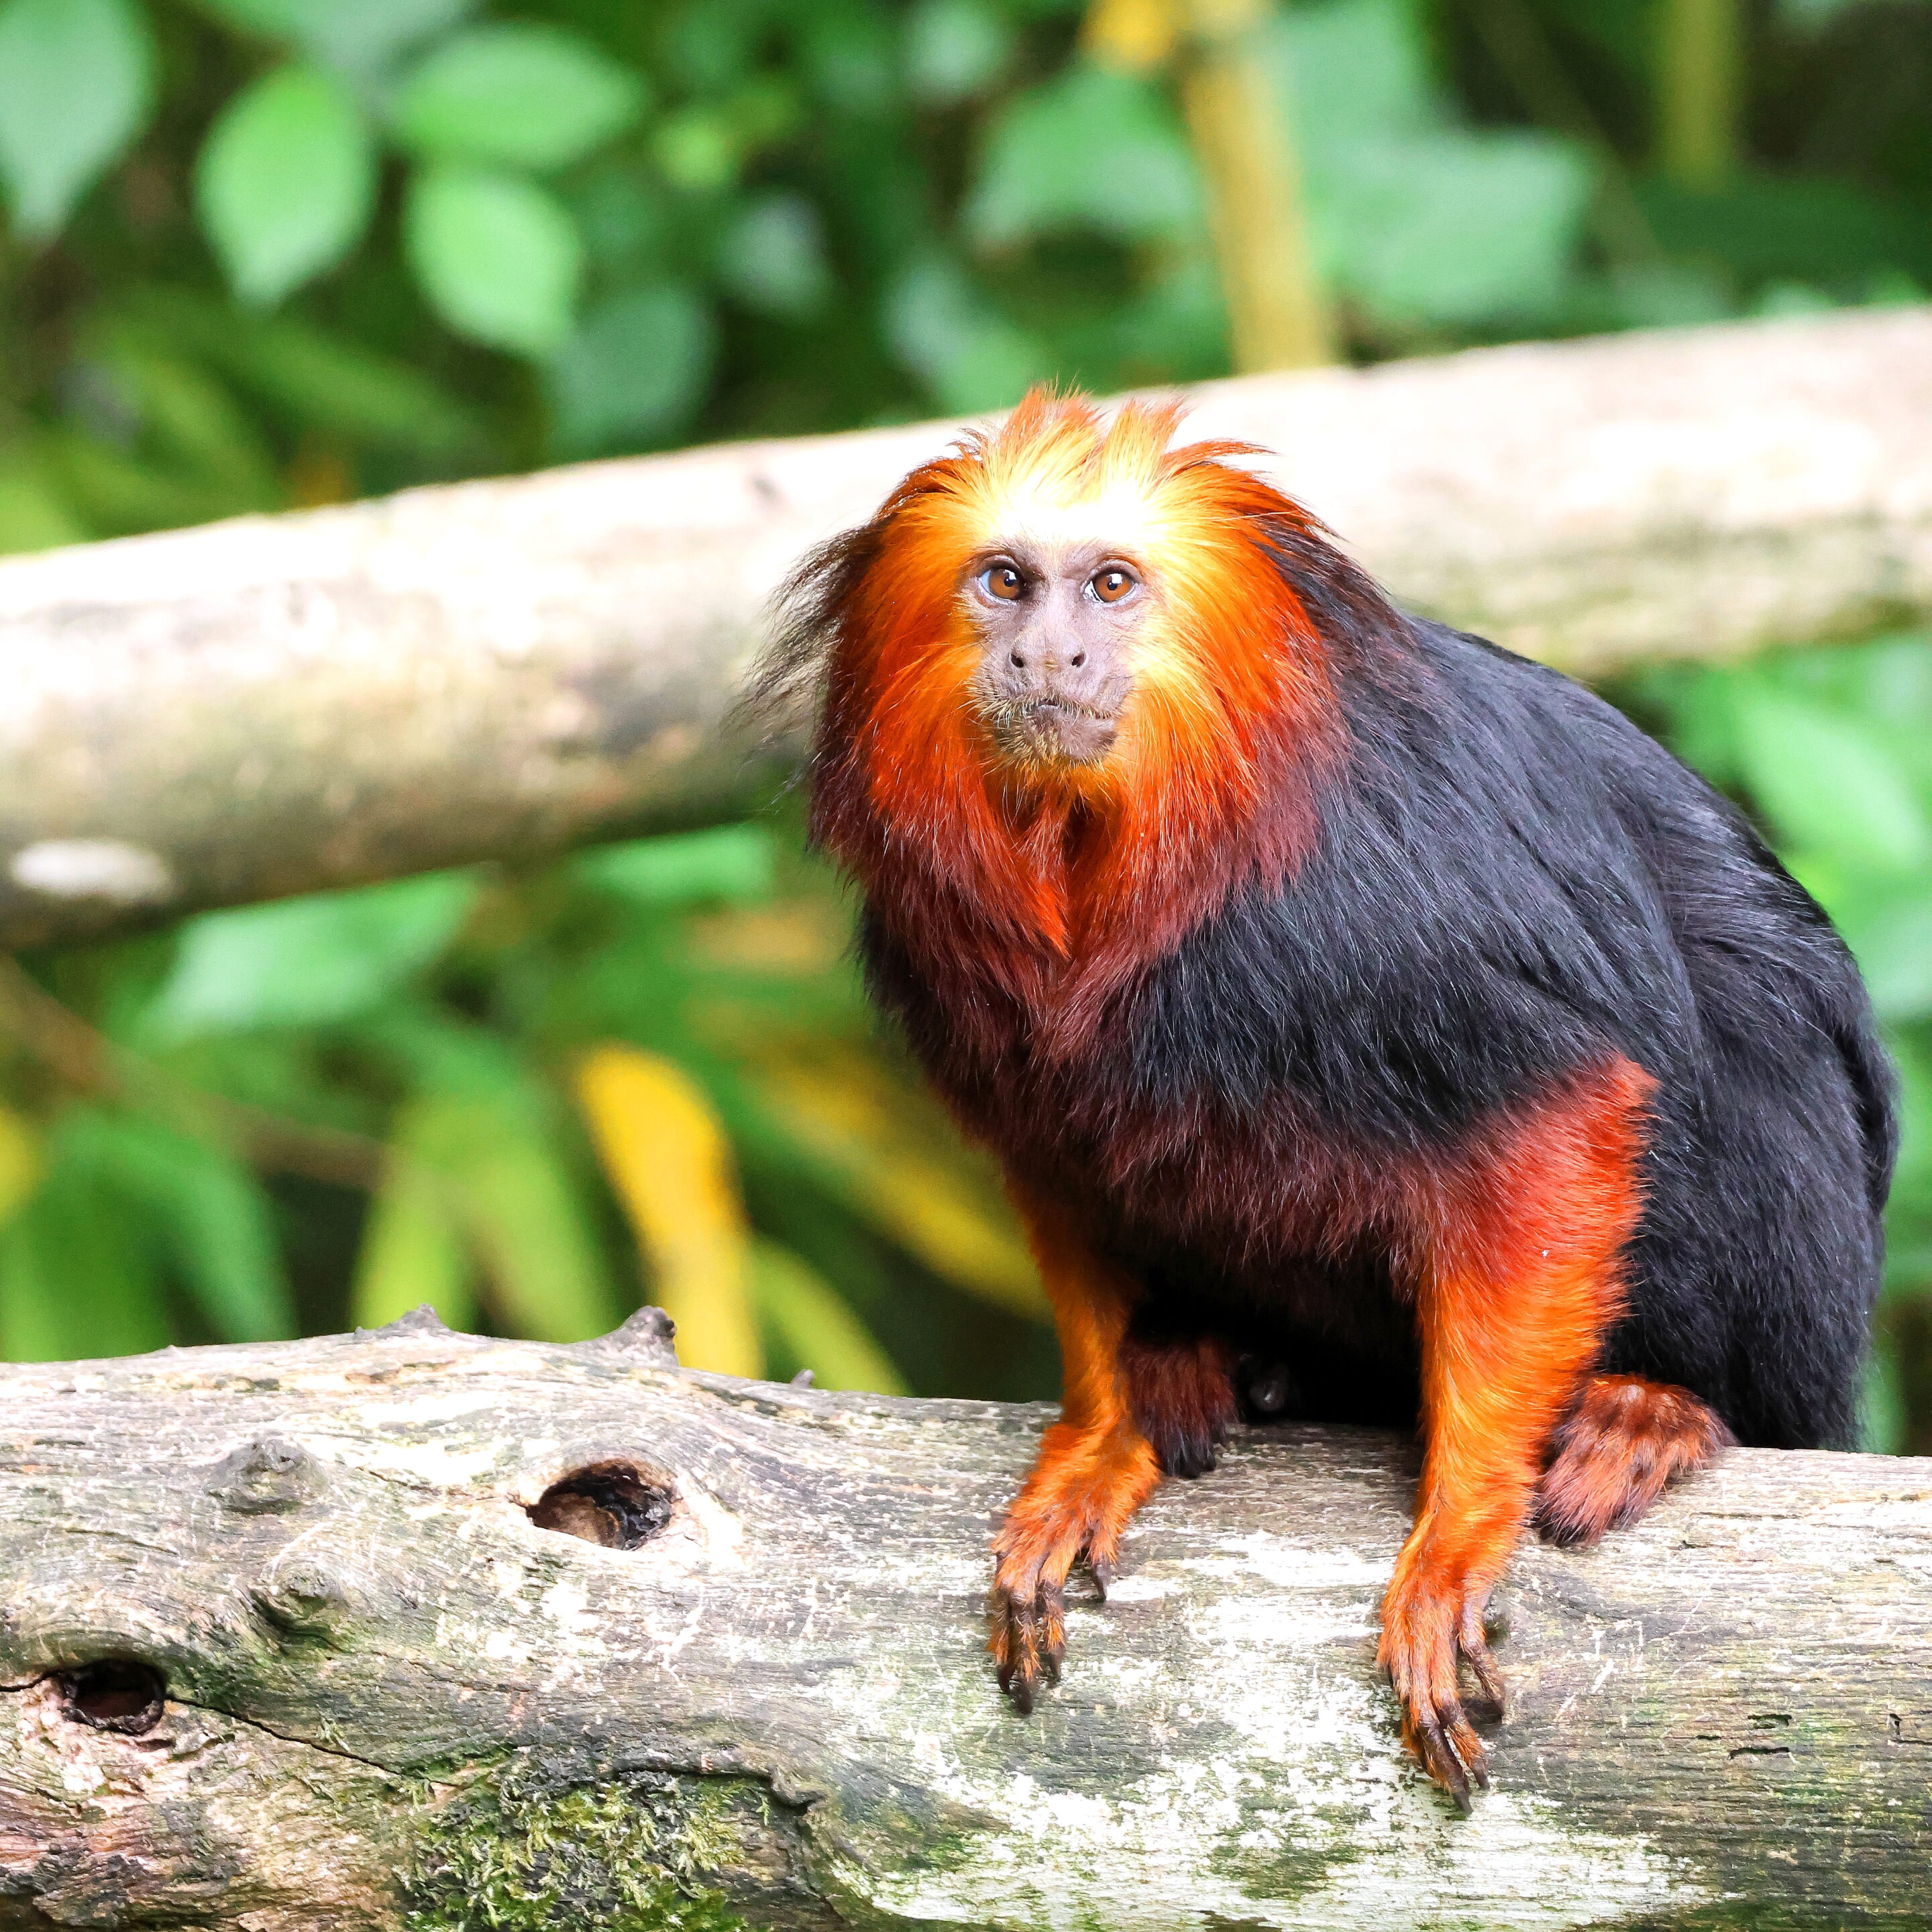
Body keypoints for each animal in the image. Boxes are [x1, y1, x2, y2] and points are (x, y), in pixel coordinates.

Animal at [756, 389, 1897, 1807]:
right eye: (1005, 582)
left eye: (1111, 585)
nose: (1045, 658)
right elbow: (1063, 1156)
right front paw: (1105, 1432)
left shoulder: (1374, 922)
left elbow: (1563, 1115)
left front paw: (1459, 1529)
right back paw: (1217, 1359)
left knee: (1754, 1029)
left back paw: (1658, 1409)